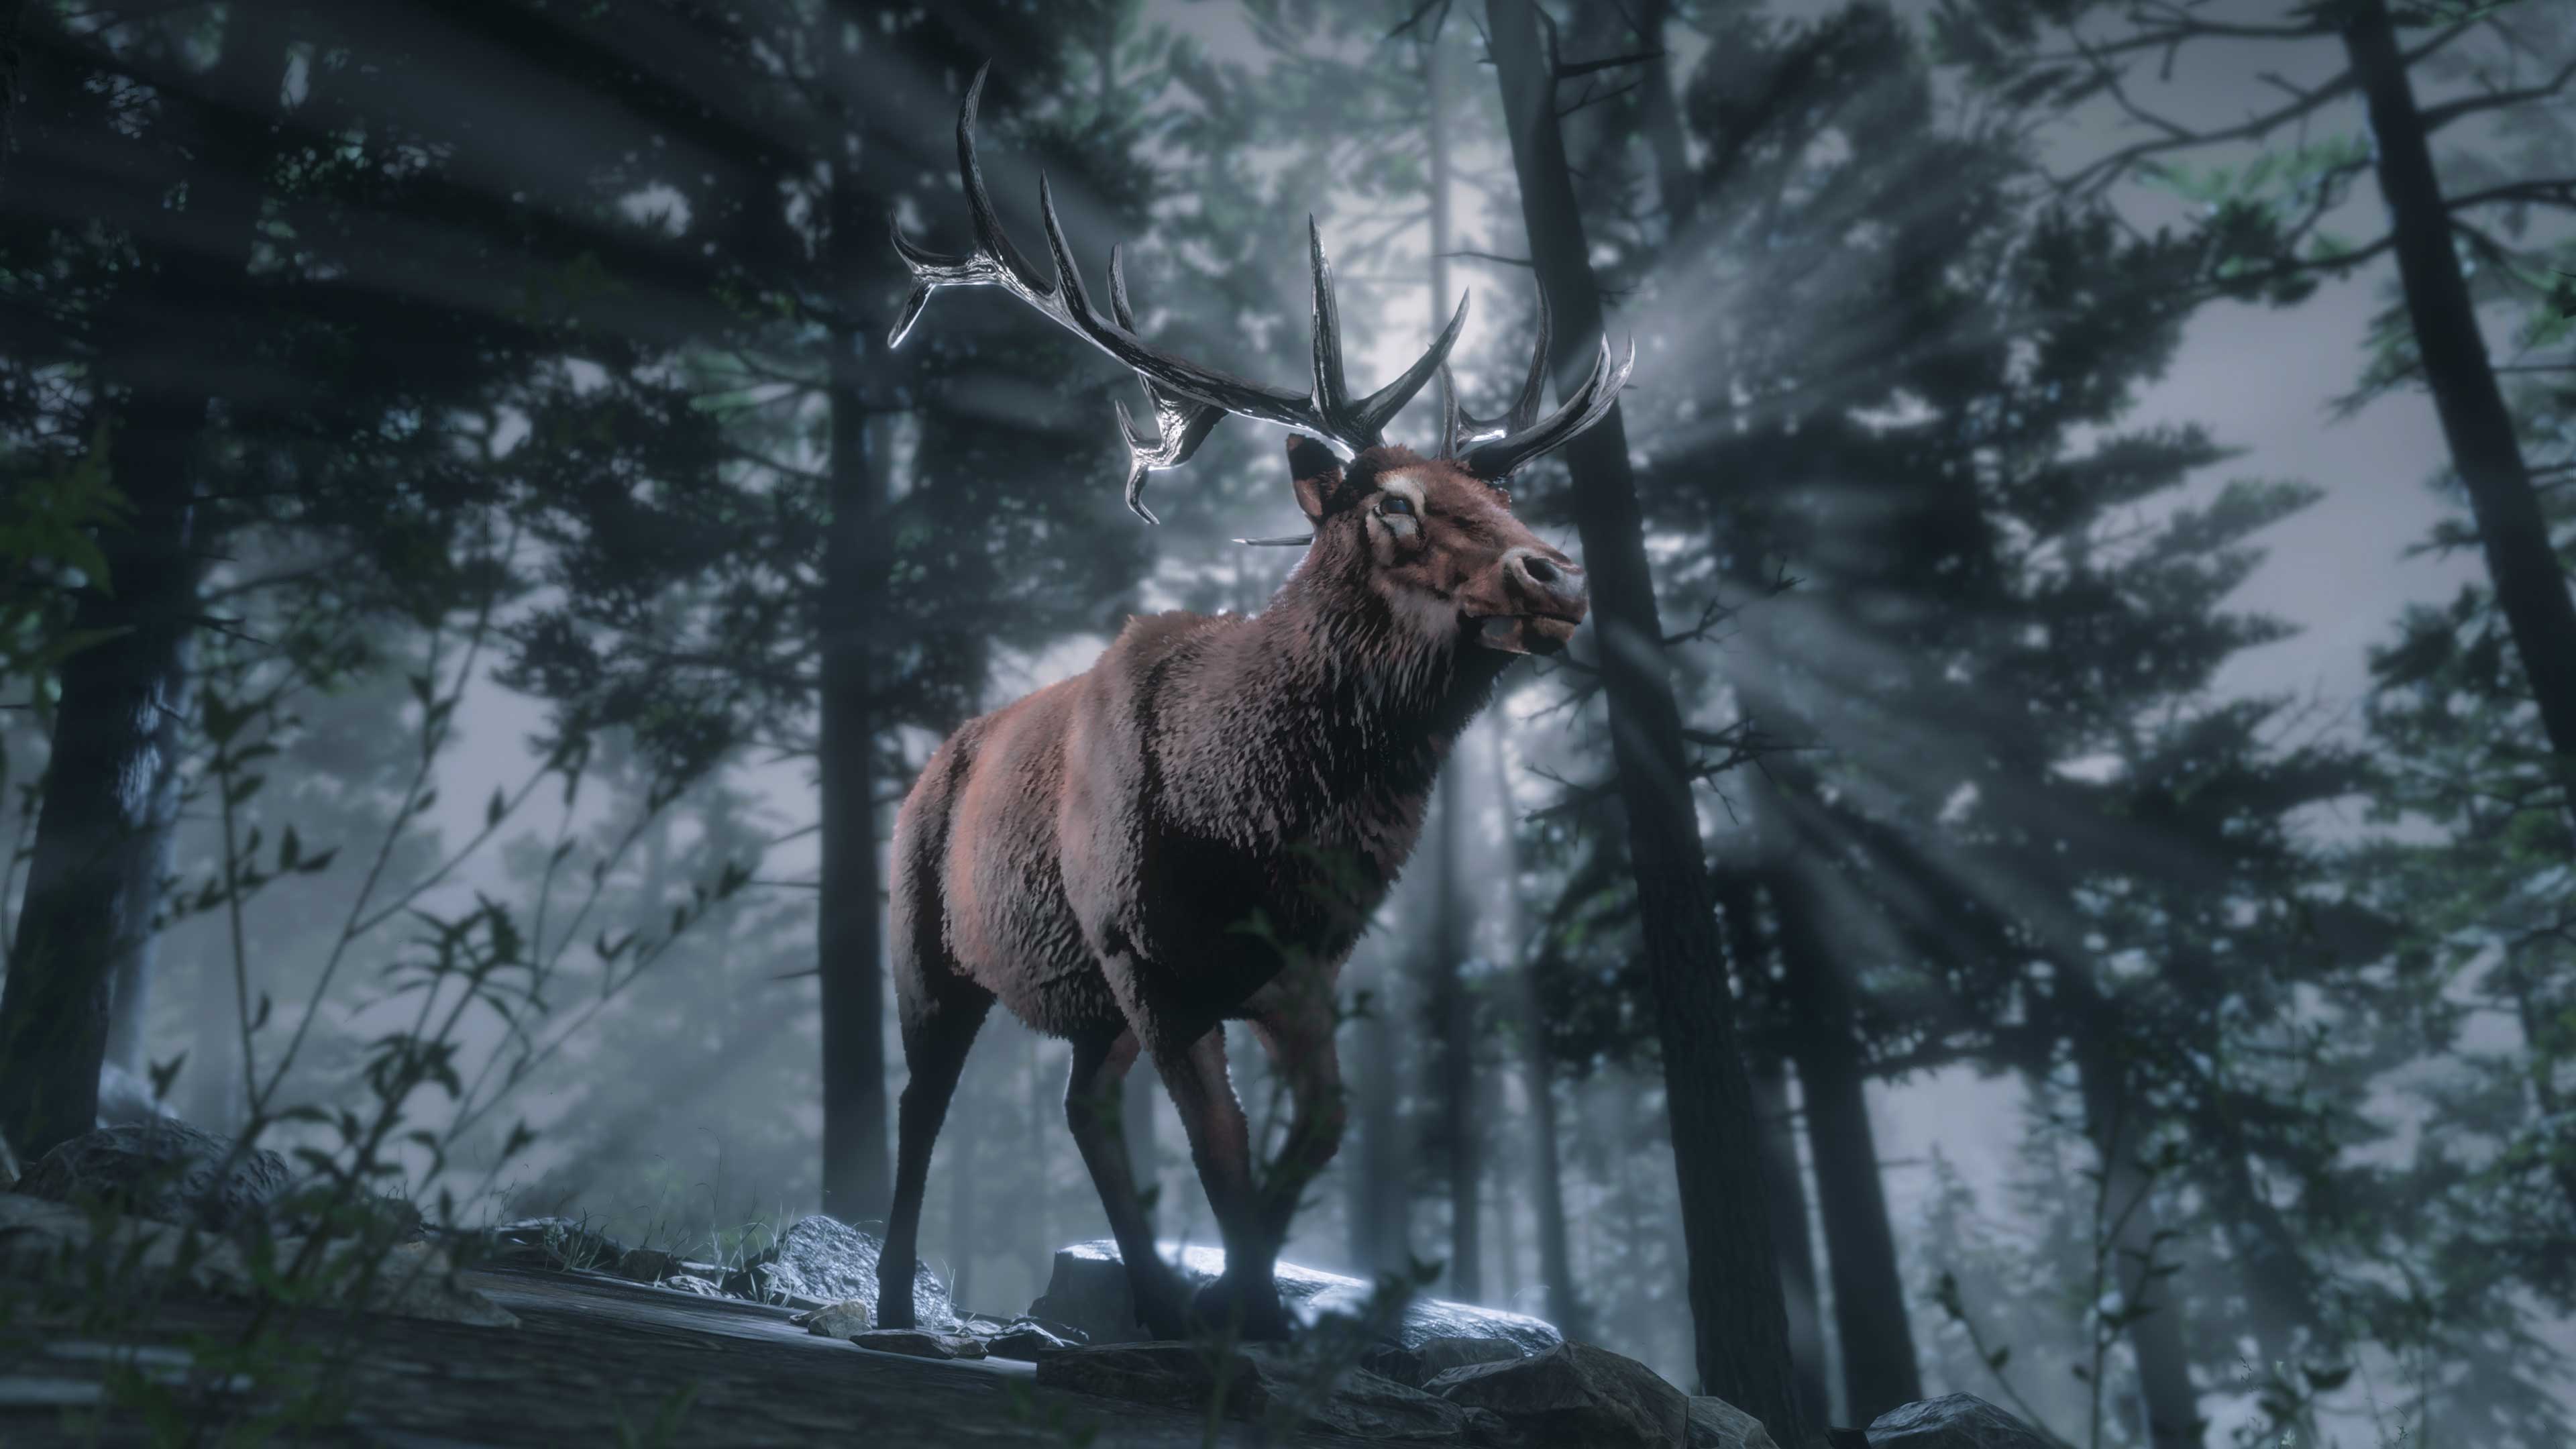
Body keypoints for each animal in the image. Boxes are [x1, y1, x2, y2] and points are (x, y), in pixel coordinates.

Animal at [873, 67, 1632, 1343]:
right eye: (1392, 504)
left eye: (1498, 494)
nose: (1558, 577)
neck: (1254, 821)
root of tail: (936, 761)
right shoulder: (1145, 953)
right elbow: (1221, 1146)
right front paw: (1249, 1318)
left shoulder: (1303, 965)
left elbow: (1315, 1131)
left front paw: (1247, 1298)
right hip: (929, 947)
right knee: (922, 1103)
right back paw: (892, 1302)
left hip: (1094, 1005)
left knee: (1083, 1106)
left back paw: (1150, 1299)